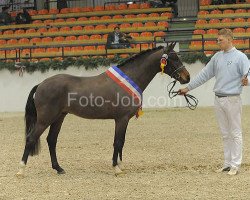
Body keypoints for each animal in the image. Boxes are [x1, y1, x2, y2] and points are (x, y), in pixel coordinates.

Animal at [16, 43, 189, 177]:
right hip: (45, 119)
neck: (129, 78)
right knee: (31, 138)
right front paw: (116, 168)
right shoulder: (121, 119)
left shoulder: (124, 120)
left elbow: (122, 142)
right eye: (173, 58)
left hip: (59, 117)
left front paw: (120, 165)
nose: (186, 77)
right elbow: (117, 142)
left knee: (51, 140)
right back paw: (21, 170)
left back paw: (58, 169)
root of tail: (41, 84)